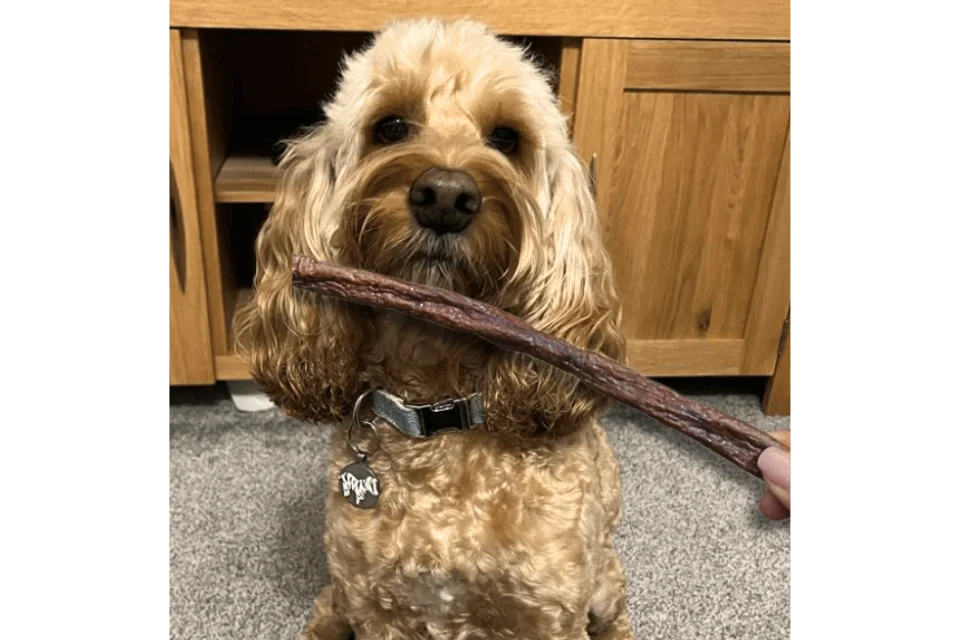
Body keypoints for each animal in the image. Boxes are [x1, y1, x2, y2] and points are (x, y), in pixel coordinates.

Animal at [233, 17, 636, 636]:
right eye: (391, 127)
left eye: (507, 138)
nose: (446, 195)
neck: (439, 410)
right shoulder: (379, 606)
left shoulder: (545, 612)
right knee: (329, 605)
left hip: (604, 580)